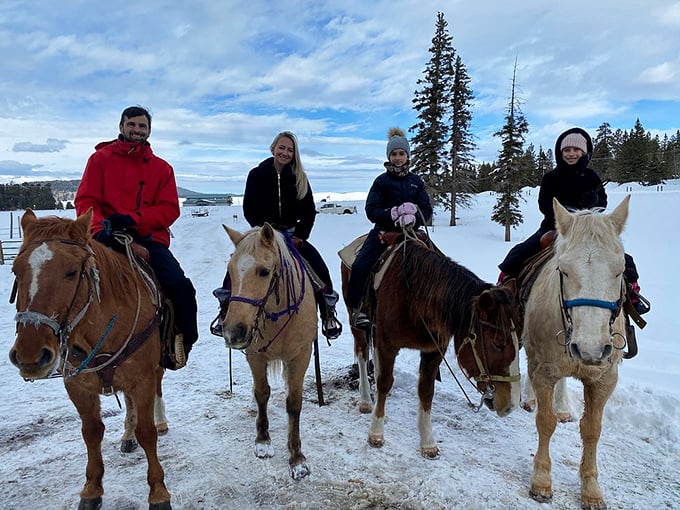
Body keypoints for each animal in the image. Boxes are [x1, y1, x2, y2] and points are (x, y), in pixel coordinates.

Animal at [7, 209, 171, 510]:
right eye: (16, 271)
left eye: (72, 272)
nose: (29, 355)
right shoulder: (77, 386)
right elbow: (92, 432)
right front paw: (92, 488)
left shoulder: (142, 378)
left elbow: (147, 432)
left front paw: (158, 491)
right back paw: (127, 435)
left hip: (155, 369)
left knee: (157, 388)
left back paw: (160, 421)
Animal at [215, 222, 318, 478]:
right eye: (230, 271)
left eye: (263, 271)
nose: (233, 332)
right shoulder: (255, 356)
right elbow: (262, 393)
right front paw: (262, 441)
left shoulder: (301, 356)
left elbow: (294, 402)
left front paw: (297, 458)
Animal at [340, 235, 520, 458]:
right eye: (498, 344)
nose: (511, 404)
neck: (415, 298)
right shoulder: (388, 343)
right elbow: (383, 382)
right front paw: (376, 433)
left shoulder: (433, 351)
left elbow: (426, 391)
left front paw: (427, 442)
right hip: (357, 322)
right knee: (363, 354)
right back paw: (365, 400)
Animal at [524, 196, 628, 510]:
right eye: (564, 269)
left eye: (619, 270)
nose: (590, 348)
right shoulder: (542, 370)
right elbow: (545, 422)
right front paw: (541, 481)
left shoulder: (604, 379)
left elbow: (592, 429)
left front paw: (591, 490)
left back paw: (563, 409)